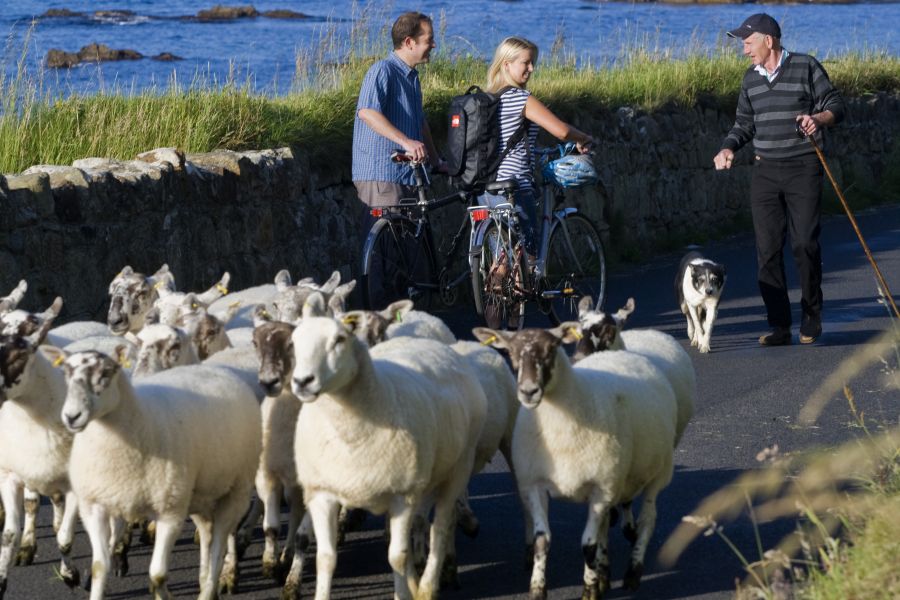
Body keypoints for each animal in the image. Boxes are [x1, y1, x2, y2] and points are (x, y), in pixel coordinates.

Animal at [48, 346, 260, 600]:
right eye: (65, 373)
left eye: (106, 373)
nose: (72, 416)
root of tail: (220, 370)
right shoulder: (94, 506)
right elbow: (99, 567)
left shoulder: (170, 512)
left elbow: (157, 575)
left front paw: (164, 593)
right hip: (201, 496)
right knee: (207, 534)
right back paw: (204, 579)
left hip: (237, 489)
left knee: (219, 546)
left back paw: (210, 587)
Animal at [290, 294, 486, 600]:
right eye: (294, 341)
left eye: (339, 340)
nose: (302, 382)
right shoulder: (322, 493)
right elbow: (326, 558)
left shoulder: (401, 496)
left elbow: (398, 557)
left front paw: (404, 590)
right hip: (427, 476)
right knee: (422, 523)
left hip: (458, 467)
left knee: (441, 527)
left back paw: (427, 585)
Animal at [478, 326, 676, 596]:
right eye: (510, 352)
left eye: (552, 348)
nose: (528, 391)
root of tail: (623, 353)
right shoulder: (534, 485)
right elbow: (542, 540)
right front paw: (538, 588)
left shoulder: (601, 489)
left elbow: (588, 546)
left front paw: (590, 590)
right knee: (607, 523)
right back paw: (604, 574)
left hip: (658, 472)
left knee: (647, 519)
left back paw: (632, 573)